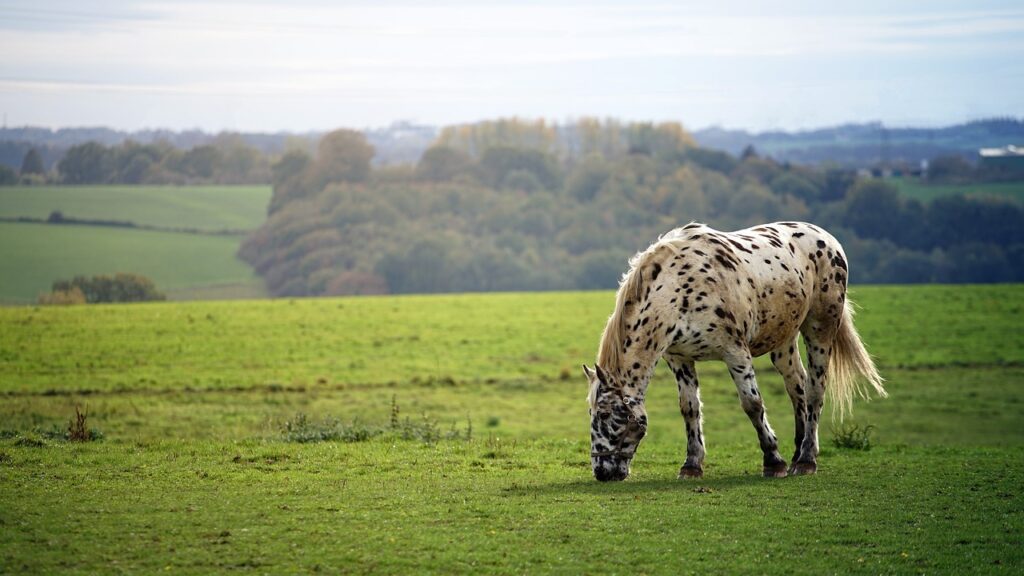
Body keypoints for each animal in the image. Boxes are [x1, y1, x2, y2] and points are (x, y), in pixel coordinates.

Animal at [583, 221, 886, 481]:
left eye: (606, 415)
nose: (602, 471)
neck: (678, 290)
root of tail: (828, 239)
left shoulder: (735, 352)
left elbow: (752, 404)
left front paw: (773, 461)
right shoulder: (679, 358)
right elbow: (689, 408)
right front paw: (692, 465)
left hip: (819, 328)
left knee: (814, 390)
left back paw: (806, 459)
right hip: (784, 340)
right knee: (796, 386)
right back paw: (798, 451)